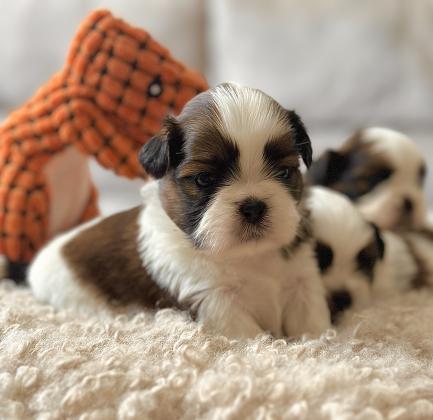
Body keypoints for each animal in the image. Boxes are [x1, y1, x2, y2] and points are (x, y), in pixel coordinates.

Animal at [28, 83, 331, 339]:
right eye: (204, 179)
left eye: (284, 172)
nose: (254, 206)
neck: (247, 255)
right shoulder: (215, 302)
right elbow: (253, 337)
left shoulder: (302, 284)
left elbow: (312, 325)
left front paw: (322, 343)